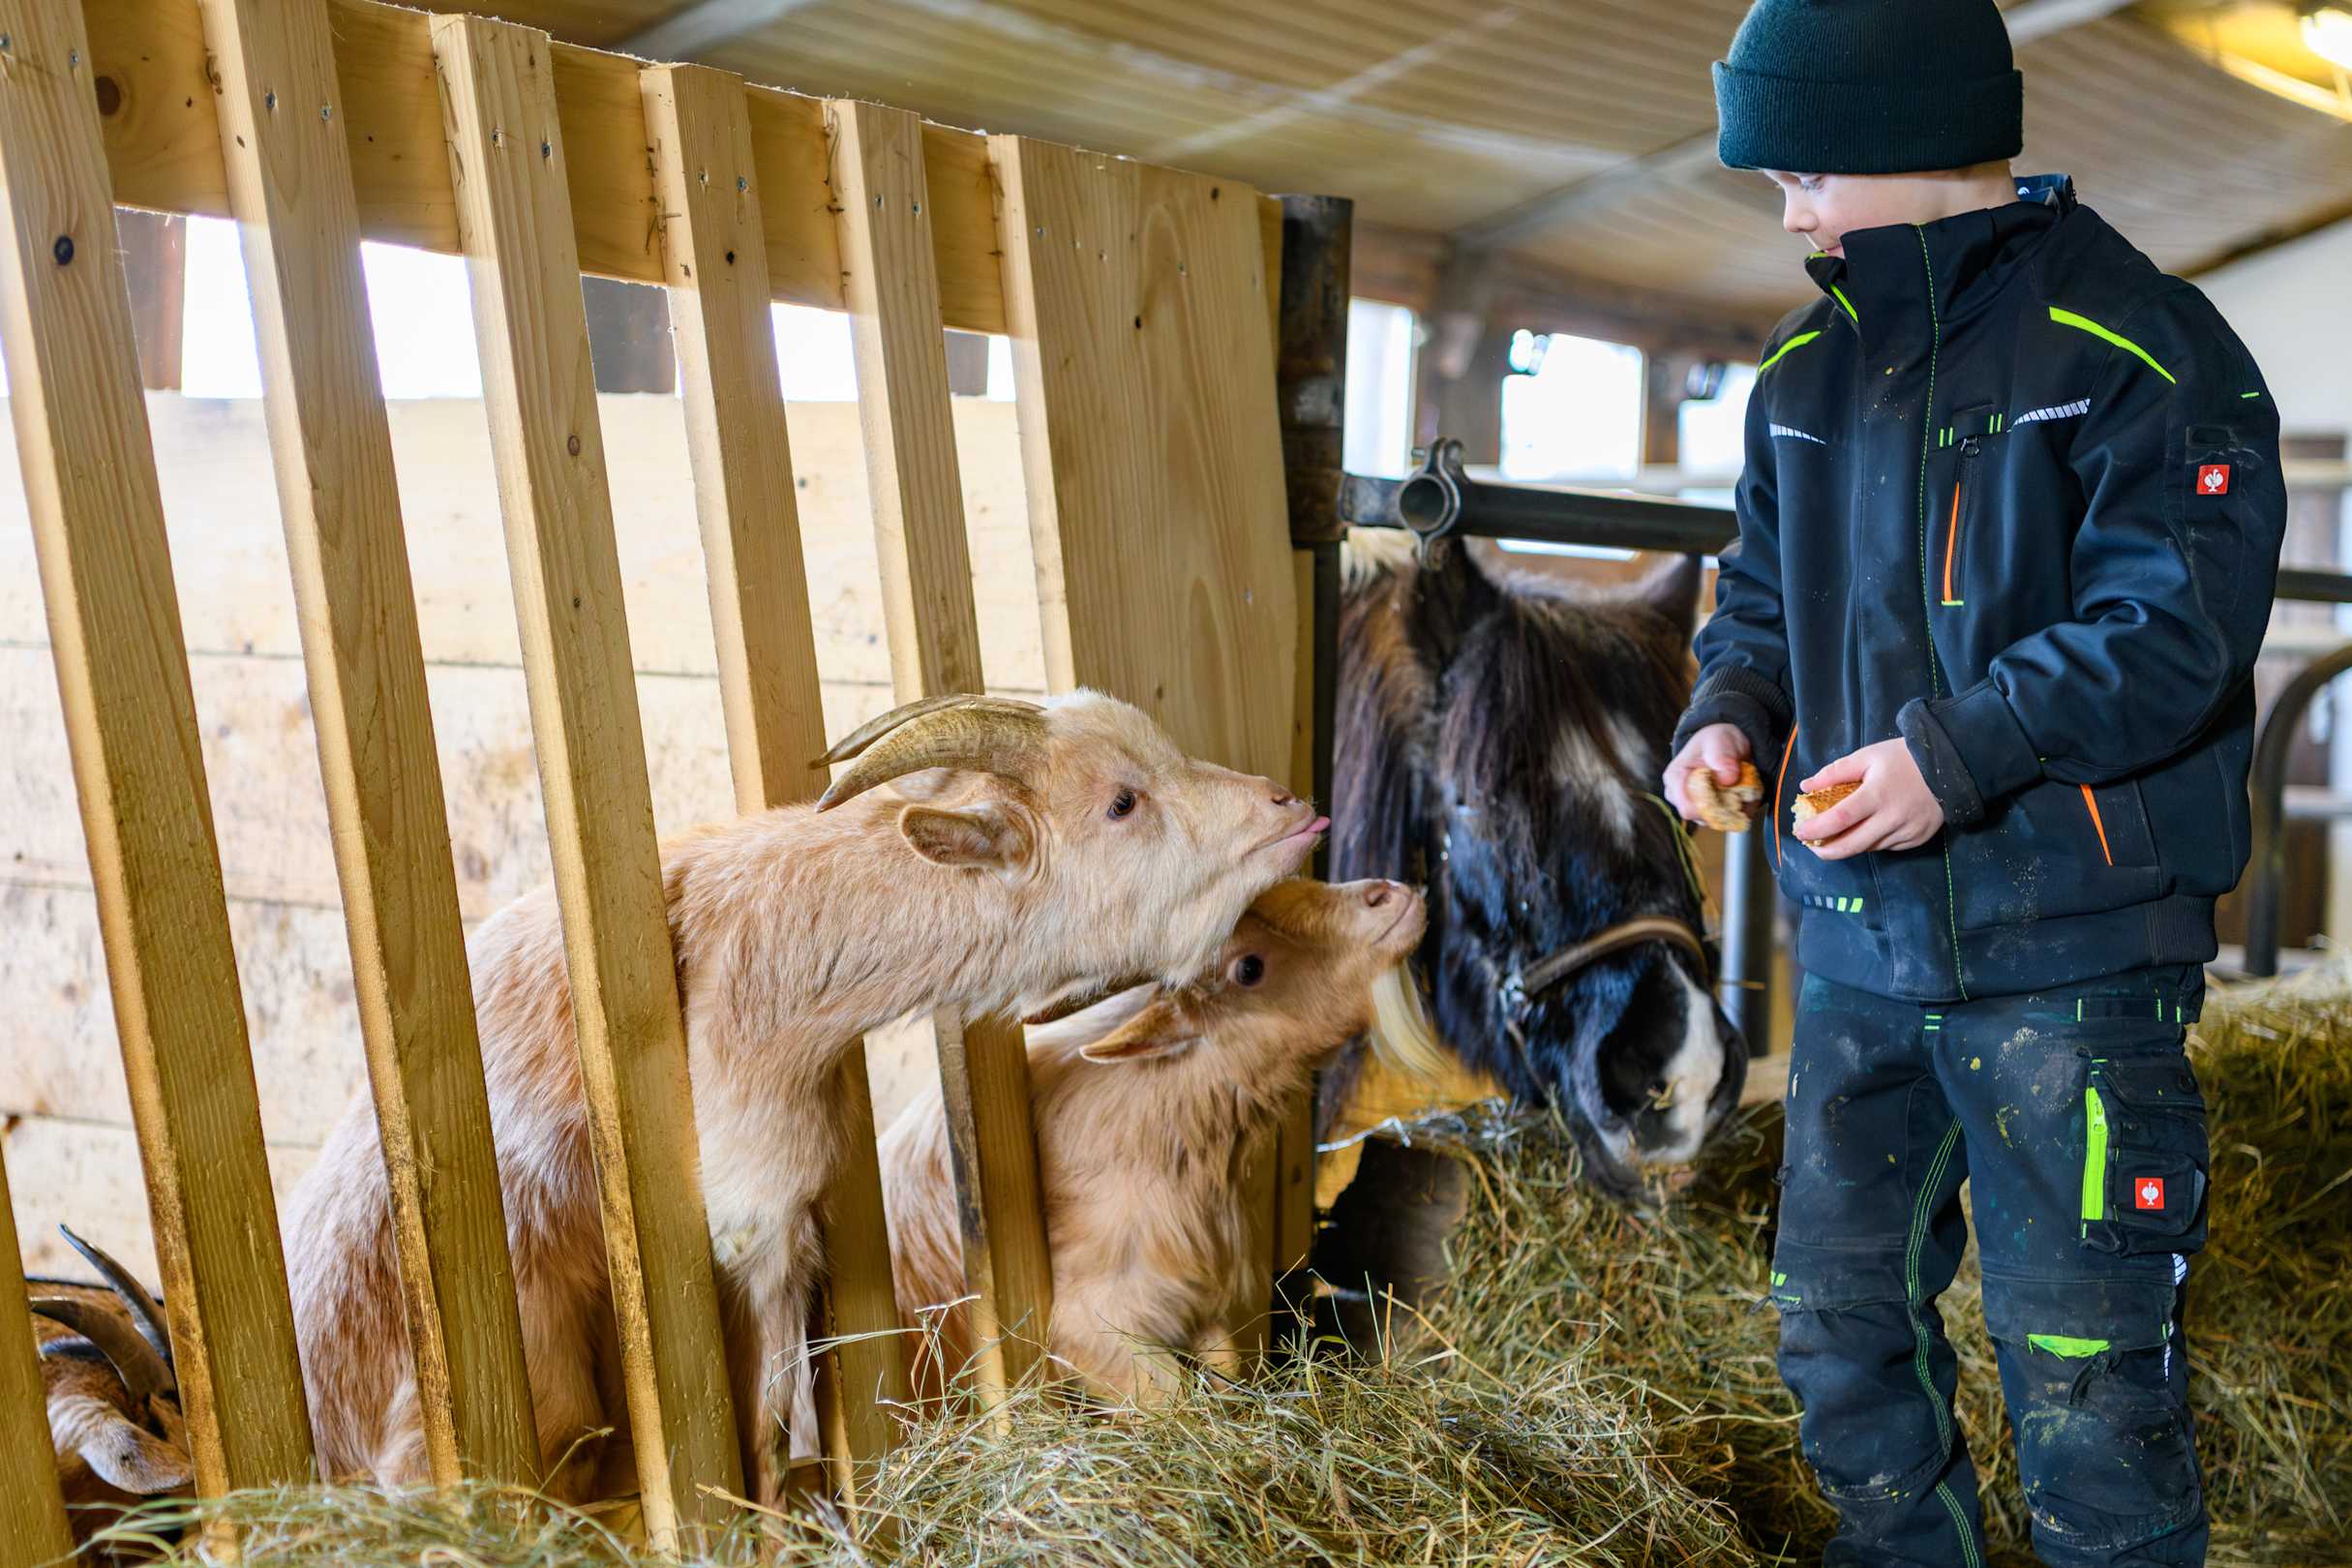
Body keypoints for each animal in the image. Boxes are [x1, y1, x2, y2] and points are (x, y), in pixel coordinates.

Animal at [285, 690, 1325, 1498]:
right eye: (1120, 801)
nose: (1296, 807)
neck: (752, 951)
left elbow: (767, 1444)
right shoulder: (751, 1224)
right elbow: (762, 1449)